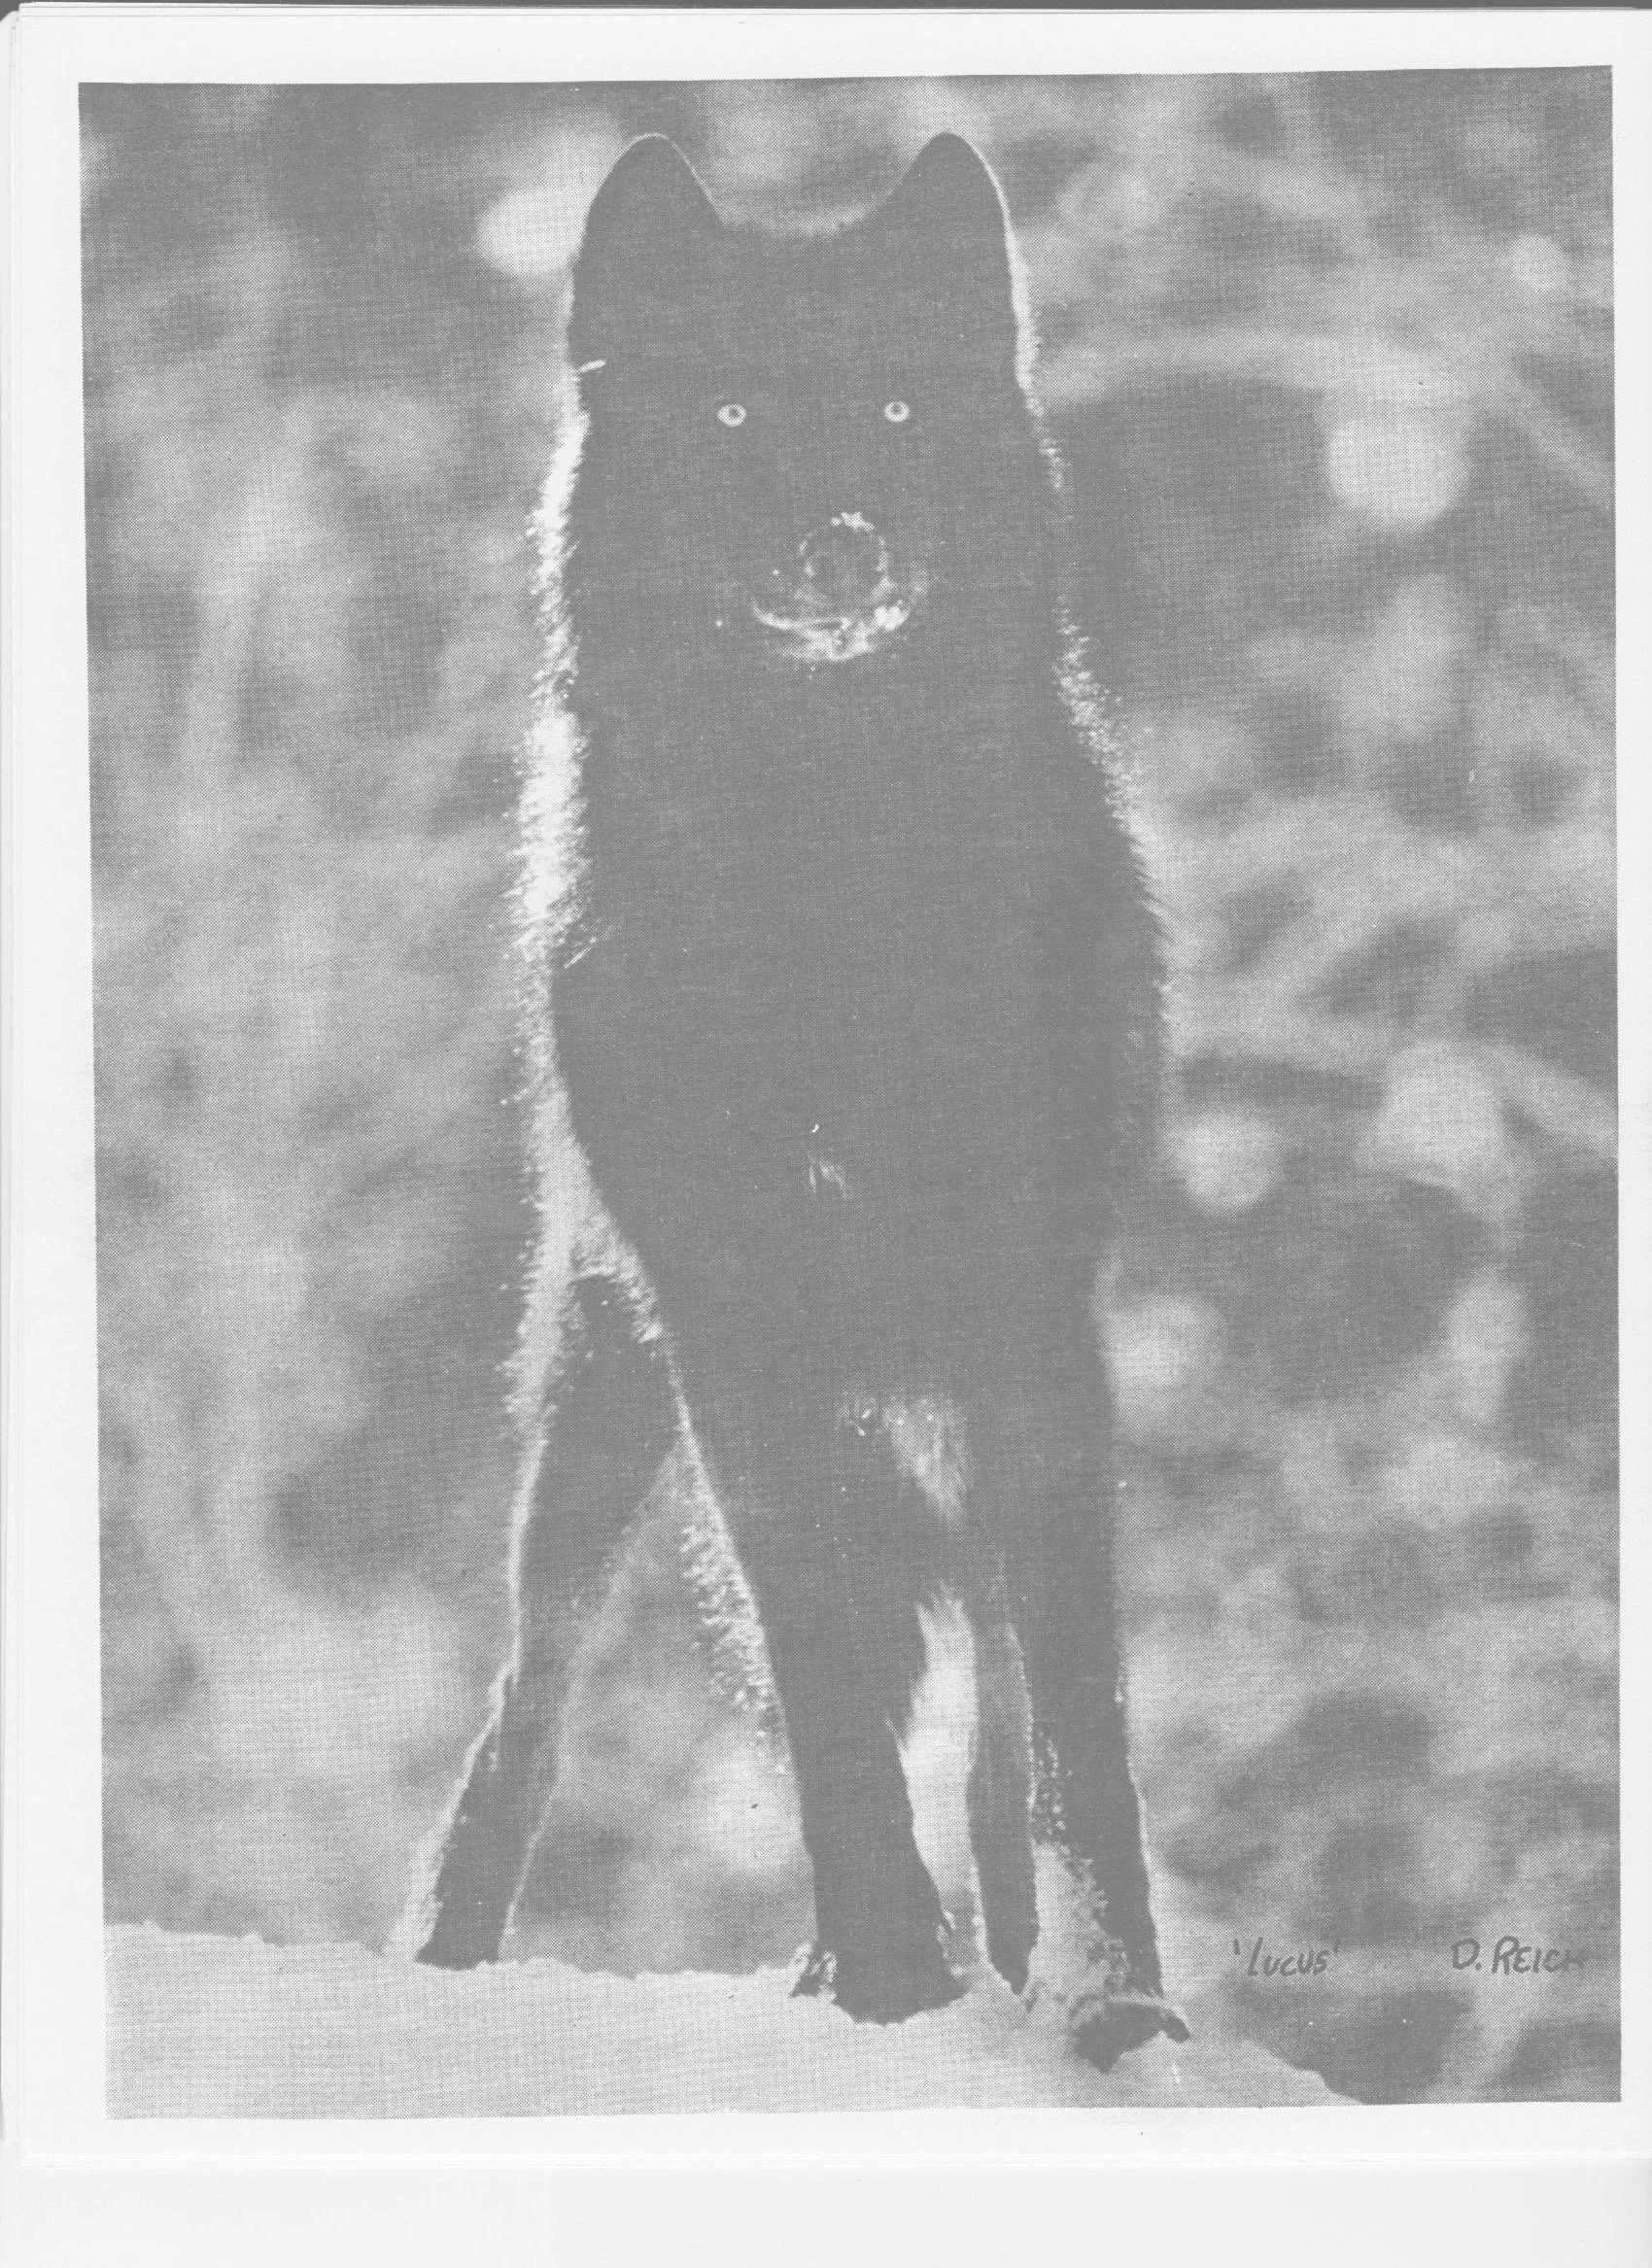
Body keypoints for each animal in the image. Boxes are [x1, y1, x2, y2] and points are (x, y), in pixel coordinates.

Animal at [404, 131, 1186, 2071]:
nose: (841, 544)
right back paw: (458, 1966)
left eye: (898, 407)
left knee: (991, 1689)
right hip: (605, 1390)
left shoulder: (1029, 1327)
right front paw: (895, 1976)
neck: (834, 879)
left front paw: (1109, 1997)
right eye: (738, 410)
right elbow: (826, 1691)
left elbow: (1067, 1719)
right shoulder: (737, 1338)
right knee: (531, 1694)